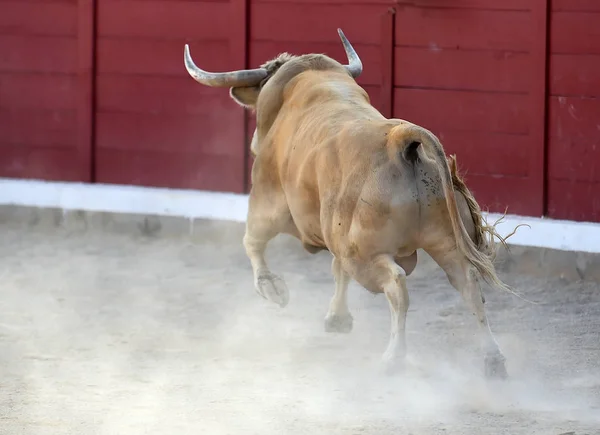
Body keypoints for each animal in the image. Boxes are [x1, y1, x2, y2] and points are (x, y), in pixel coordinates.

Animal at [183, 29, 520, 380]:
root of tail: (400, 140)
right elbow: (335, 270)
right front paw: (337, 318)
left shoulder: (267, 198)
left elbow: (253, 240)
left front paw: (273, 289)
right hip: (443, 241)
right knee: (468, 284)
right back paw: (493, 360)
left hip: (364, 254)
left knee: (397, 286)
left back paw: (392, 358)